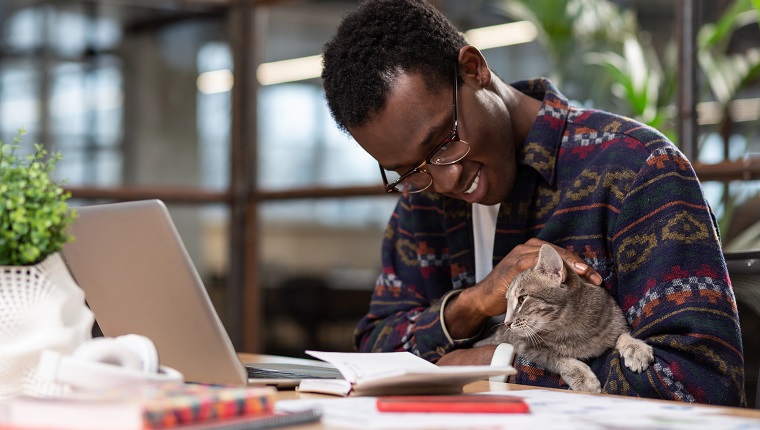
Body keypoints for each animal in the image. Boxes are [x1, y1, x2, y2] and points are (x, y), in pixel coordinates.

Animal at [478, 244, 656, 392]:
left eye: (522, 299)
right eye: (507, 302)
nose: (506, 323)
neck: (570, 327)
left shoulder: (614, 317)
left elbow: (622, 334)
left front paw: (635, 348)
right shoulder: (524, 345)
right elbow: (558, 357)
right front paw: (583, 378)